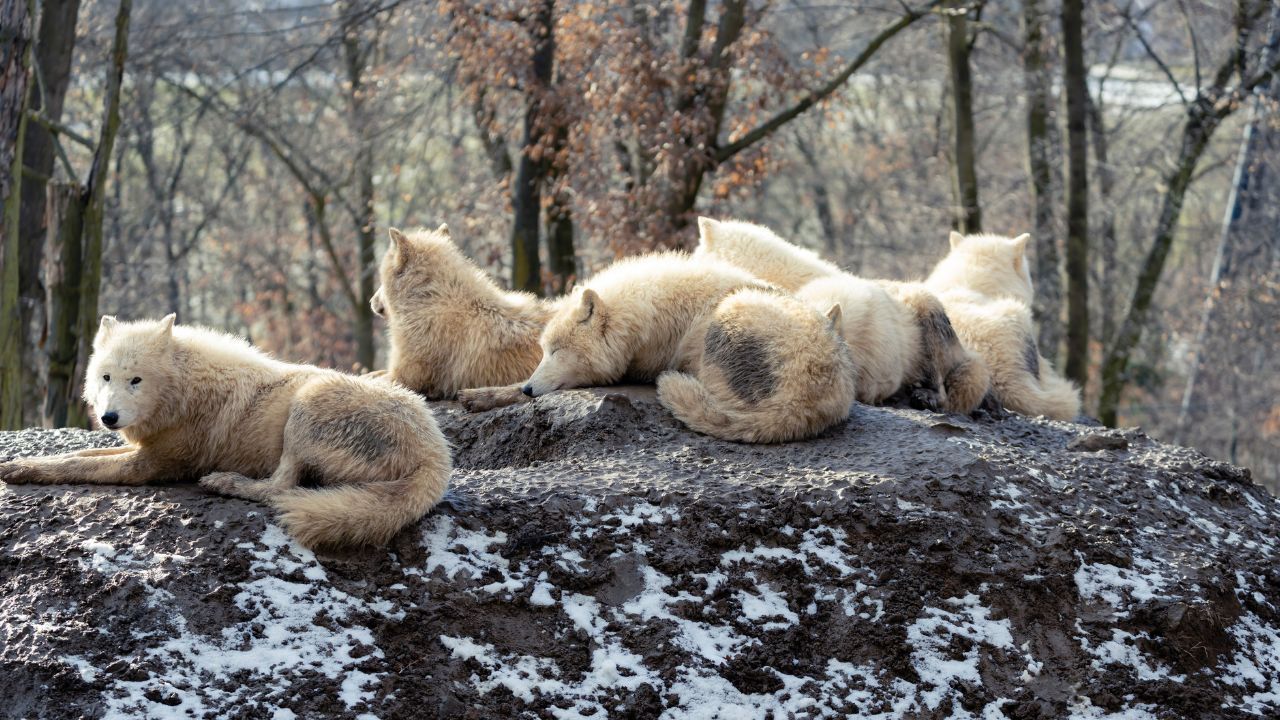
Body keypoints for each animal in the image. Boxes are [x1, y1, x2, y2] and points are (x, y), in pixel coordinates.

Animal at [0, 313, 453, 543]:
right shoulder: (143, 447)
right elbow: (79, 453)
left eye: (136, 381)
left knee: (280, 489)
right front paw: (30, 459)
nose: (109, 417)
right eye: (106, 377)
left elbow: (78, 465)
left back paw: (225, 482)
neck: (185, 390)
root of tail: (437, 455)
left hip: (308, 404)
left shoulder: (151, 465)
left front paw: (22, 468)